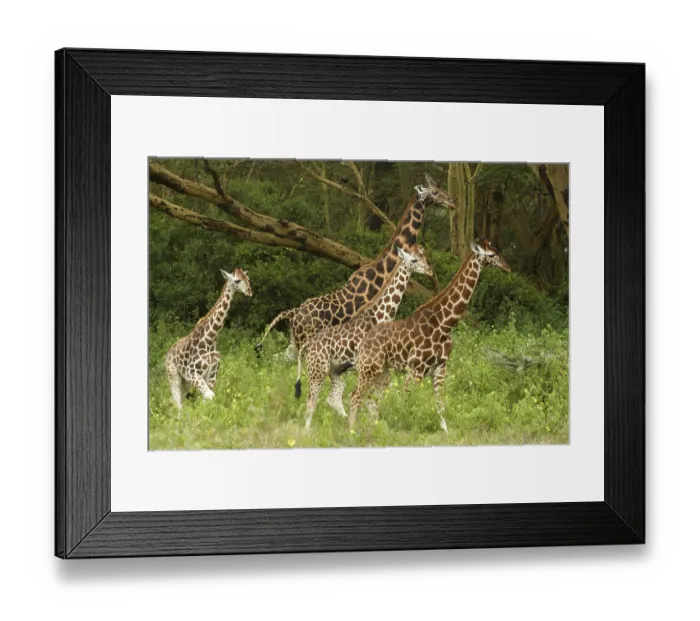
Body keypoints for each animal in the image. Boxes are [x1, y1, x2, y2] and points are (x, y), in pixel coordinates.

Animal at [164, 268, 252, 410]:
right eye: (237, 280)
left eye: (247, 278)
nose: (249, 291)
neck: (211, 339)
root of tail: (167, 353)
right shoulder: (192, 373)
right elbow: (210, 396)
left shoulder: (211, 377)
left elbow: (207, 399)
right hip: (174, 376)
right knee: (177, 403)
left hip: (185, 382)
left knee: (179, 401)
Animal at [254, 175, 455, 361]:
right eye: (434, 192)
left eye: (442, 188)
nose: (452, 202)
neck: (381, 272)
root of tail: (294, 314)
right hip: (306, 344)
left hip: (294, 346)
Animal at [296, 244, 433, 429]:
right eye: (414, 260)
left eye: (424, 257)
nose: (429, 270)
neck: (380, 315)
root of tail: (308, 345)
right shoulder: (367, 367)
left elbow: (373, 400)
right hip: (317, 370)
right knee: (311, 401)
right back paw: (310, 431)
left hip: (334, 371)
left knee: (332, 398)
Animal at [348, 240, 511, 432]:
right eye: (491, 255)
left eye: (498, 251)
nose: (507, 267)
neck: (444, 324)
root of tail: (363, 342)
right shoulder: (415, 369)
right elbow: (407, 402)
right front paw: (405, 430)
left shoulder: (440, 368)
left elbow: (440, 405)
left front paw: (445, 432)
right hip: (369, 369)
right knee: (354, 396)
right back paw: (351, 431)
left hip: (381, 371)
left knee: (370, 400)